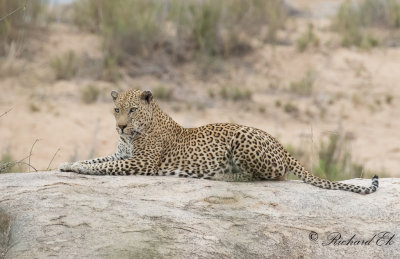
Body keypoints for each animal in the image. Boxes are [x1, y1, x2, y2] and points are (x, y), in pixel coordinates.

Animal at [58, 89, 378, 195]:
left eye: (133, 110)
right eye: (116, 109)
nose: (120, 126)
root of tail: (279, 143)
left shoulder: (143, 163)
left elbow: (102, 168)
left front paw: (82, 169)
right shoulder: (122, 156)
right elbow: (98, 159)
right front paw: (71, 164)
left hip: (242, 137)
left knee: (270, 176)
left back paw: (224, 176)